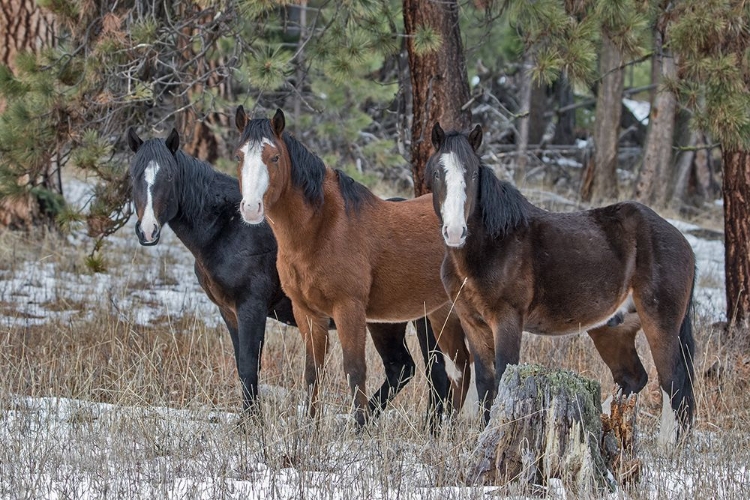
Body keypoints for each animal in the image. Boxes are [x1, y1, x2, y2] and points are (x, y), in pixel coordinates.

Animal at [128, 127, 452, 424]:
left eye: (170, 177)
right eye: (133, 175)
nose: (147, 231)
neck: (229, 228)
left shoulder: (251, 307)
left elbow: (250, 364)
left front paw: (251, 423)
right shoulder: (229, 312)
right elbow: (243, 366)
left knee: (425, 373)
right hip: (393, 321)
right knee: (409, 370)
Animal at [235, 109, 472, 426]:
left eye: (274, 157)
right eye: (239, 156)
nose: (250, 208)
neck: (323, 229)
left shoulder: (349, 309)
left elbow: (355, 370)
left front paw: (359, 428)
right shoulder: (307, 312)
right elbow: (312, 372)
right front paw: (309, 428)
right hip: (434, 314)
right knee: (450, 369)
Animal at [426, 123, 696, 436]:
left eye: (471, 173)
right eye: (437, 173)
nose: (455, 231)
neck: (492, 244)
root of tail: (682, 240)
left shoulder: (506, 320)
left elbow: (504, 373)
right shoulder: (472, 322)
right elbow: (485, 381)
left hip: (660, 323)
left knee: (673, 383)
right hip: (613, 328)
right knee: (633, 377)